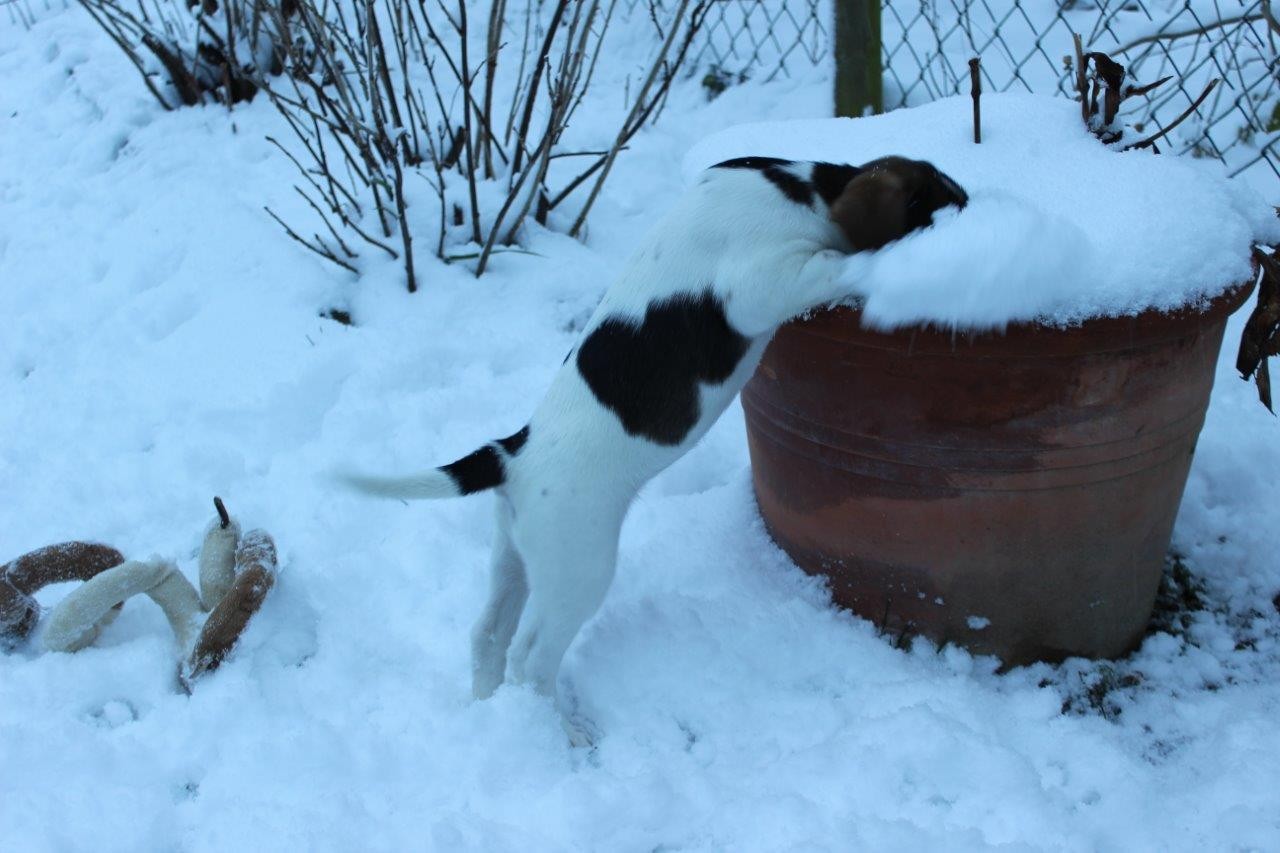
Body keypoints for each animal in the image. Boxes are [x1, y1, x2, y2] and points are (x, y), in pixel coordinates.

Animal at [345, 154, 962, 737]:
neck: (808, 187)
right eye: (934, 204)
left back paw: (492, 712)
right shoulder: (767, 280)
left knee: (487, 635)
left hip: (517, 556)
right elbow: (842, 264)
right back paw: (561, 733)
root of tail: (513, 454)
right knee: (531, 657)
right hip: (579, 567)